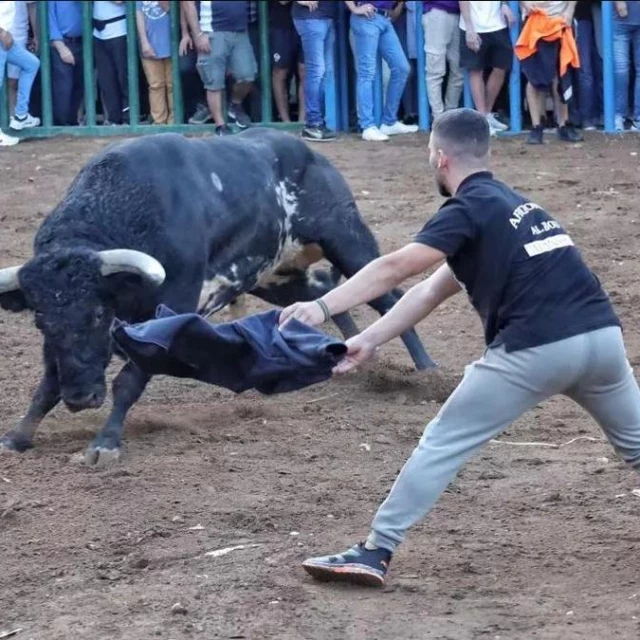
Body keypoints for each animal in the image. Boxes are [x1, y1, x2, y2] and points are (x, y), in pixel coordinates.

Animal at [0, 127, 436, 464]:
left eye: (96, 313)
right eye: (40, 319)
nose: (81, 398)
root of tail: (311, 156)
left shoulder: (172, 305)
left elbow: (129, 379)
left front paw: (105, 443)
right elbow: (48, 381)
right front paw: (18, 436)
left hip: (347, 238)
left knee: (389, 294)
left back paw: (428, 369)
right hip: (275, 277)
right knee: (326, 292)